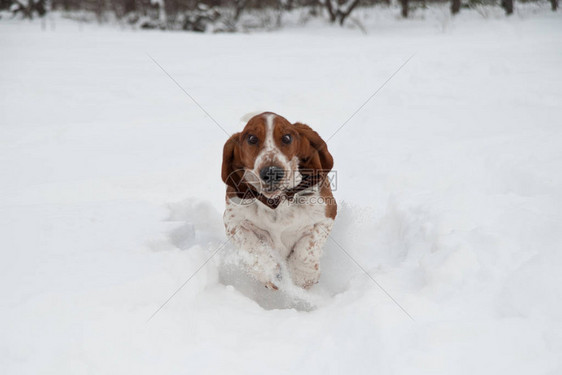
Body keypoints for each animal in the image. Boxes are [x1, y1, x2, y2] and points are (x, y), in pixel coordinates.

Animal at [220, 111, 334, 290]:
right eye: (251, 138)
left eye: (287, 138)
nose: (272, 172)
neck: (276, 202)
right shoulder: (233, 221)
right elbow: (251, 245)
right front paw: (269, 271)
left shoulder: (326, 216)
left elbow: (307, 248)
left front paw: (303, 275)